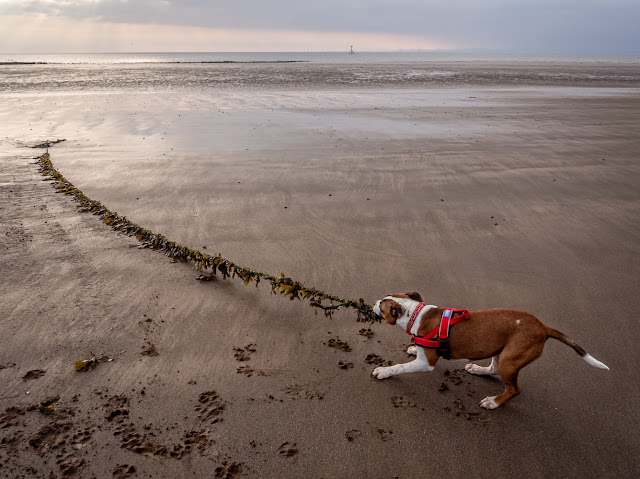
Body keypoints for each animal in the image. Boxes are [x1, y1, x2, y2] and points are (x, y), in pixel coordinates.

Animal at [368, 292, 608, 408]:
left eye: (382, 307)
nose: (374, 301)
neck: (416, 314)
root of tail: (543, 327)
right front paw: (412, 347)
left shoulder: (425, 364)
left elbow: (400, 367)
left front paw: (384, 371)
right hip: (500, 350)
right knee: (493, 369)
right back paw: (477, 369)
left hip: (510, 360)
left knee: (514, 389)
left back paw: (494, 402)